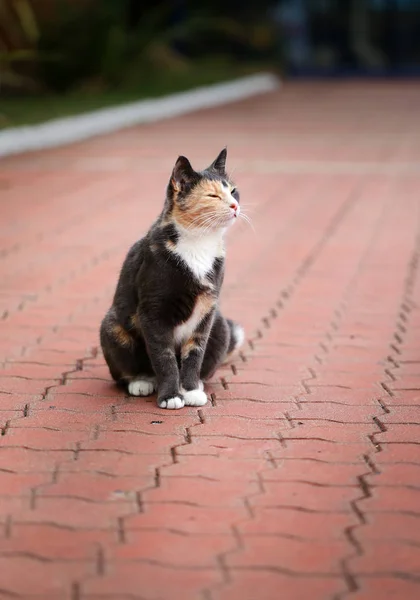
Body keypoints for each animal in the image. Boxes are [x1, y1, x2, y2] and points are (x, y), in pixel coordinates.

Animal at [100, 147, 244, 408]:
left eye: (233, 190)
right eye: (212, 195)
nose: (235, 206)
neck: (199, 243)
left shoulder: (206, 312)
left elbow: (195, 353)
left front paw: (190, 389)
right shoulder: (153, 311)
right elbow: (164, 357)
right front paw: (170, 396)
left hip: (220, 325)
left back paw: (195, 384)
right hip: (113, 326)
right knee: (124, 372)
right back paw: (142, 381)